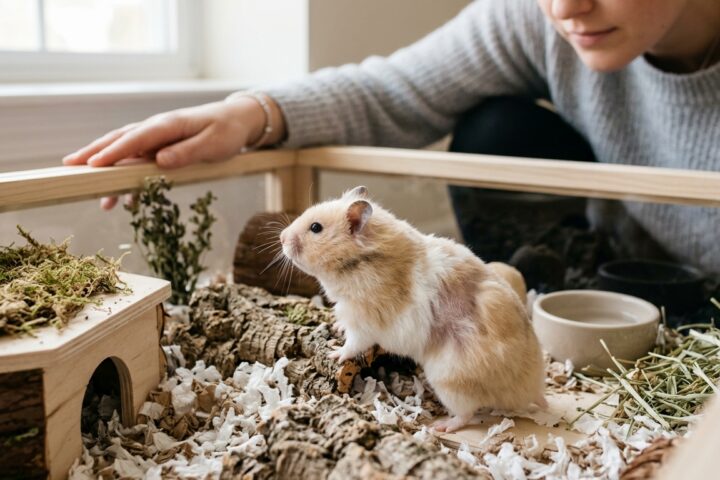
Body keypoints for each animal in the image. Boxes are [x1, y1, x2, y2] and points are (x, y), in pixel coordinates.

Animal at [279, 186, 547, 432]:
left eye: (316, 228)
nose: (281, 237)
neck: (357, 263)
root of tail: (530, 390)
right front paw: (335, 327)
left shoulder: (363, 321)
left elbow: (352, 344)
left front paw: (334, 354)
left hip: (450, 382)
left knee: (467, 414)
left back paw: (442, 426)